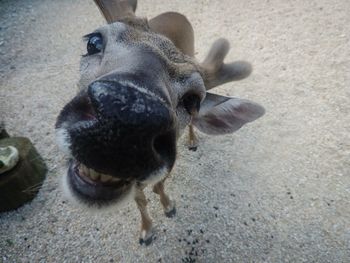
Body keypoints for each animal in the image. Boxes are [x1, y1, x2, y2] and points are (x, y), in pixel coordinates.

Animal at [55, 0, 262, 248]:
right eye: (93, 42)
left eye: (193, 100)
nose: (125, 116)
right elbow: (140, 201)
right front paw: (146, 231)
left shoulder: (169, 163)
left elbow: (159, 186)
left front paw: (169, 207)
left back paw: (192, 141)